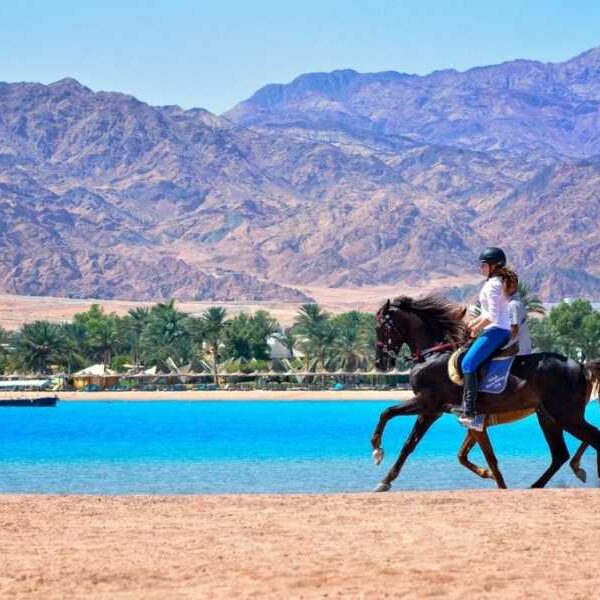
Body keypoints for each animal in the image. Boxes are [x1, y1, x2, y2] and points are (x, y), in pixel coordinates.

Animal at [370, 292, 600, 490]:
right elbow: (410, 444)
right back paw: (540, 484)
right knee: (561, 454)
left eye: (380, 326)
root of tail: (581, 366)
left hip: (565, 415)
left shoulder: (428, 402)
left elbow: (387, 412)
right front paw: (385, 481)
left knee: (592, 439)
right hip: (549, 417)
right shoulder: (434, 412)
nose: (380, 363)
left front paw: (377, 448)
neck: (434, 355)